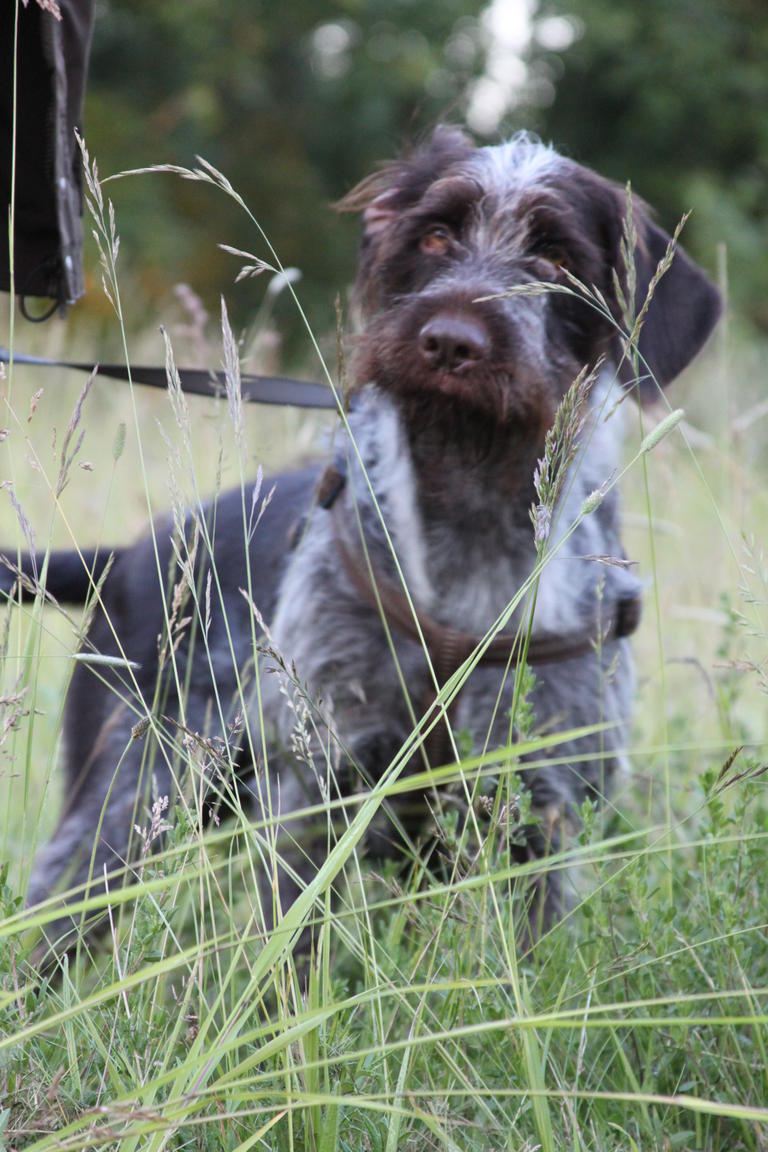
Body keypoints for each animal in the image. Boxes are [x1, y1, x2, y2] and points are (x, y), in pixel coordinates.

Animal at [8, 126, 723, 958]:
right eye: (435, 234)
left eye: (555, 257)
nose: (449, 342)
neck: (467, 527)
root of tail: (126, 554)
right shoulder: (318, 785)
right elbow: (291, 952)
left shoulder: (542, 811)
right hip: (124, 811)